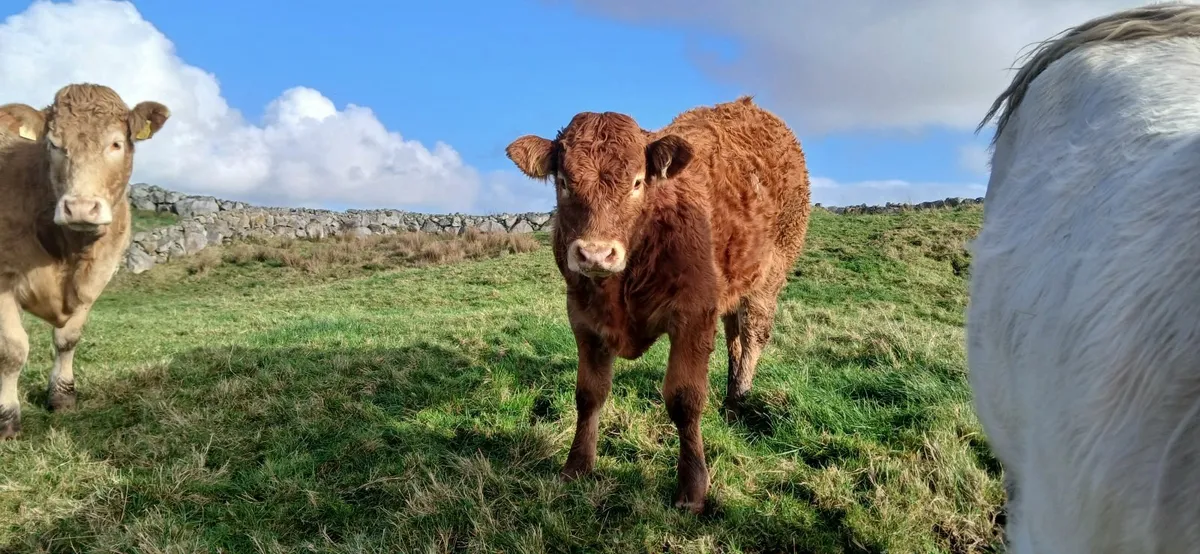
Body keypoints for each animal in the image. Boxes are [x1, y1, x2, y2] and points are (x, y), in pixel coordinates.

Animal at [0, 83, 170, 439]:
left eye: (116, 143)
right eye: (53, 144)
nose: (79, 207)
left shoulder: (96, 278)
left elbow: (68, 339)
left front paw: (62, 396)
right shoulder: (3, 278)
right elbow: (12, 349)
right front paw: (7, 419)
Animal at [505, 96, 810, 513]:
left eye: (637, 182)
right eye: (564, 182)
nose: (595, 254)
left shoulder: (693, 318)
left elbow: (684, 401)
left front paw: (692, 488)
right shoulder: (583, 320)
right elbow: (588, 395)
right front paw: (576, 466)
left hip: (769, 278)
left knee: (753, 337)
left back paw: (740, 398)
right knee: (735, 338)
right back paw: (731, 402)